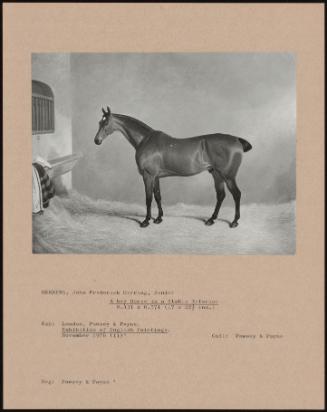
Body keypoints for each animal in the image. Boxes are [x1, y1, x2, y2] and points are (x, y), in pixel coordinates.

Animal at [95, 106, 254, 229]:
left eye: (106, 122)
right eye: (99, 122)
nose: (97, 140)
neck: (145, 140)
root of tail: (236, 140)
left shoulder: (148, 175)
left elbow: (148, 198)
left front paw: (146, 221)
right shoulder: (156, 176)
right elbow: (158, 196)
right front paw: (158, 218)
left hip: (228, 176)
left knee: (236, 194)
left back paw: (234, 222)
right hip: (216, 174)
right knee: (221, 195)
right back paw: (211, 219)